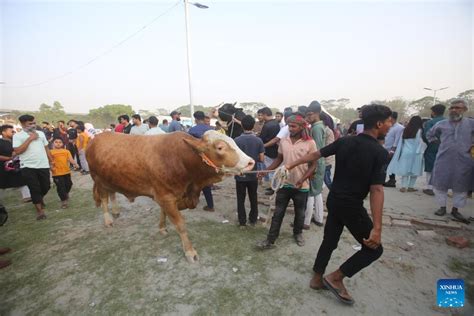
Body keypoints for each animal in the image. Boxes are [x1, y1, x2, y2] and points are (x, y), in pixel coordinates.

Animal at [85, 130, 256, 262]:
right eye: (220, 147)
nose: (250, 162)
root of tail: (96, 138)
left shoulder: (166, 197)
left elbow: (164, 213)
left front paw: (162, 228)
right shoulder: (165, 196)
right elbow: (180, 224)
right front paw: (190, 252)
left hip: (109, 179)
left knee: (112, 193)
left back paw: (115, 211)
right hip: (98, 179)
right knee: (104, 199)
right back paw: (108, 220)